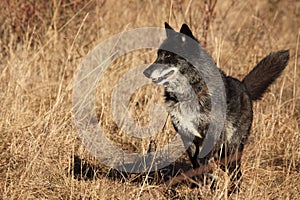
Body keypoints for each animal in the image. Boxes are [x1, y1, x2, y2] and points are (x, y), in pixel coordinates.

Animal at [144, 22, 290, 191]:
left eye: (168, 55)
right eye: (158, 54)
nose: (145, 72)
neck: (191, 93)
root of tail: (244, 87)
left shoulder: (212, 136)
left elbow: (202, 162)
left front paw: (209, 184)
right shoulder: (187, 137)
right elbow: (196, 163)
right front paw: (203, 184)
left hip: (229, 151)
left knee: (236, 174)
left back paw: (233, 191)